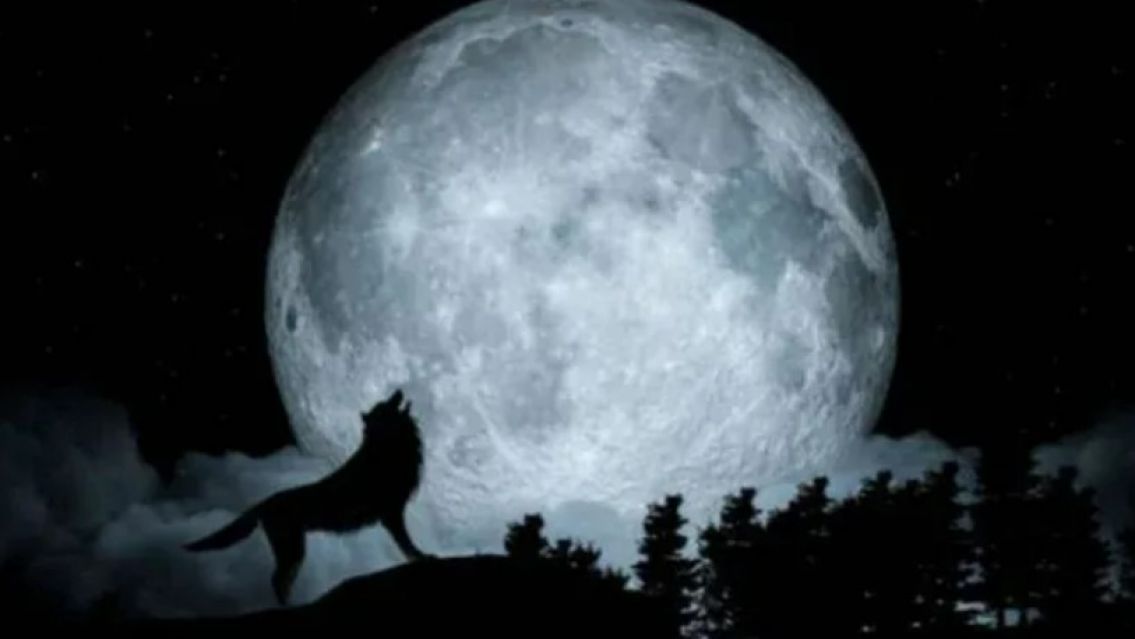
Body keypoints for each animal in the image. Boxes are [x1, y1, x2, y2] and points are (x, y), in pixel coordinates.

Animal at [184, 388, 431, 605]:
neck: (386, 446)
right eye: (386, 404)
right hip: (294, 551)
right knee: (277, 581)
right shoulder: (391, 513)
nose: (398, 390)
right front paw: (423, 557)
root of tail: (264, 503)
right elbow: (407, 546)